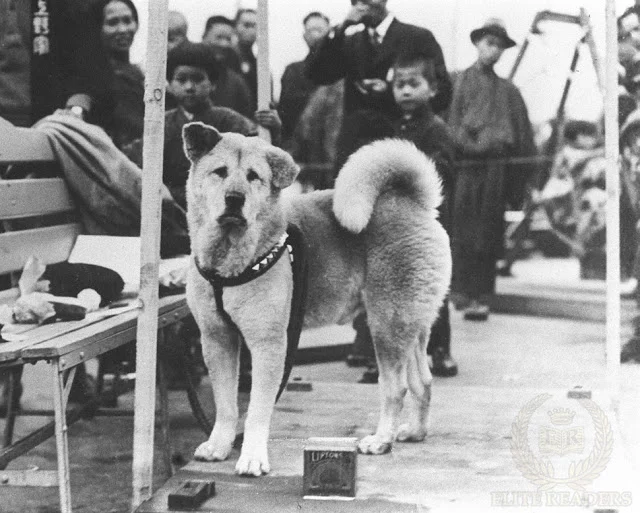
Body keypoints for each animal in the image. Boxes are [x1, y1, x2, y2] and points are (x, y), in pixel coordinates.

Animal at [182, 123, 452, 476]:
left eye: (254, 176)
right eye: (220, 172)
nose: (234, 199)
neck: (229, 262)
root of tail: (413, 203)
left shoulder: (269, 345)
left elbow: (256, 409)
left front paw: (252, 457)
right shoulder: (217, 339)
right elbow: (226, 404)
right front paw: (219, 445)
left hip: (386, 326)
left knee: (396, 388)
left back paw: (381, 440)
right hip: (411, 326)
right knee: (423, 381)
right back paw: (415, 432)